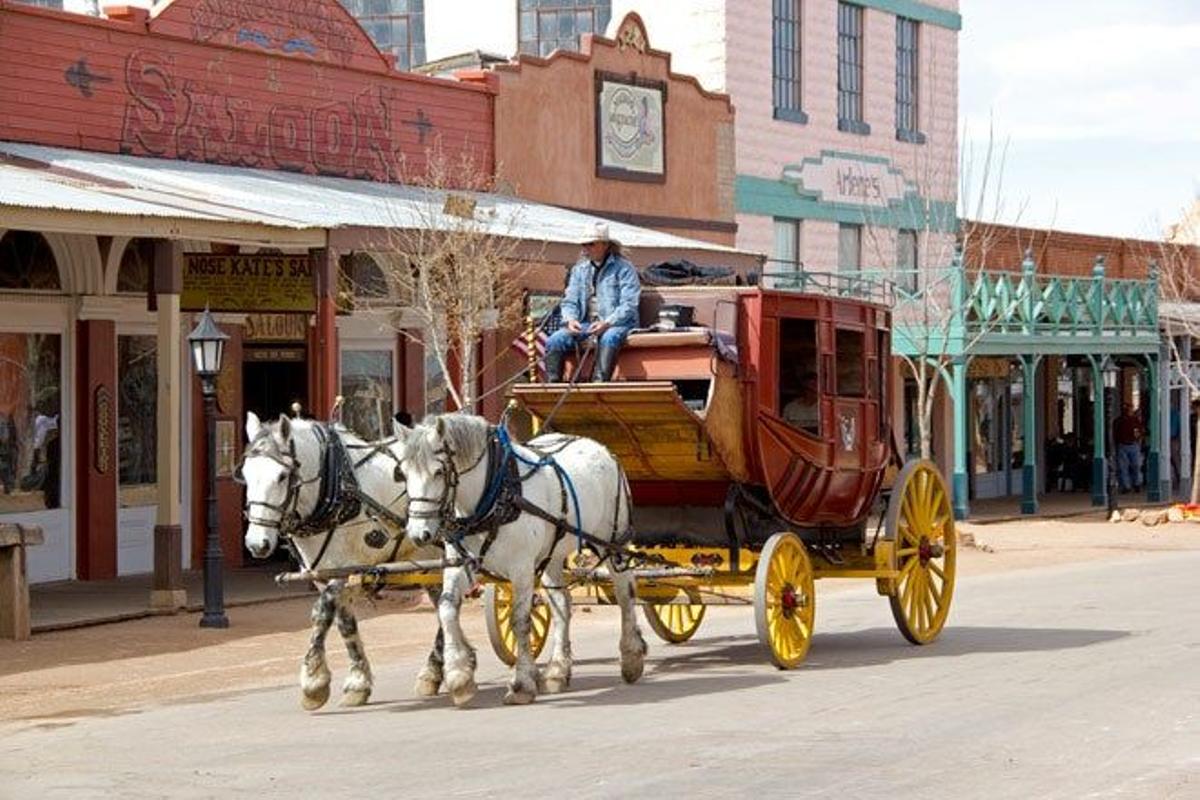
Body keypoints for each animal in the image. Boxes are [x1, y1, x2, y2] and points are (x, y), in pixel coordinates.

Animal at [241, 412, 448, 714]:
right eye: (245, 475)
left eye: (281, 476)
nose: (257, 543)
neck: (333, 489)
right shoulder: (327, 573)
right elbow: (345, 623)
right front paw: (358, 682)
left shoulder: (341, 572)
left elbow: (321, 614)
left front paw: (313, 682)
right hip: (427, 562)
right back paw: (434, 672)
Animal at [398, 412, 648, 705]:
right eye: (403, 473)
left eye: (438, 472)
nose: (419, 534)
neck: (494, 495)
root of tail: (601, 448)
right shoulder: (461, 564)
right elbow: (447, 610)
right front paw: (460, 677)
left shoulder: (522, 568)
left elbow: (520, 620)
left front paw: (522, 684)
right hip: (553, 552)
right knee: (562, 603)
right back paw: (557, 670)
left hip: (613, 541)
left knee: (625, 594)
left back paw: (631, 658)